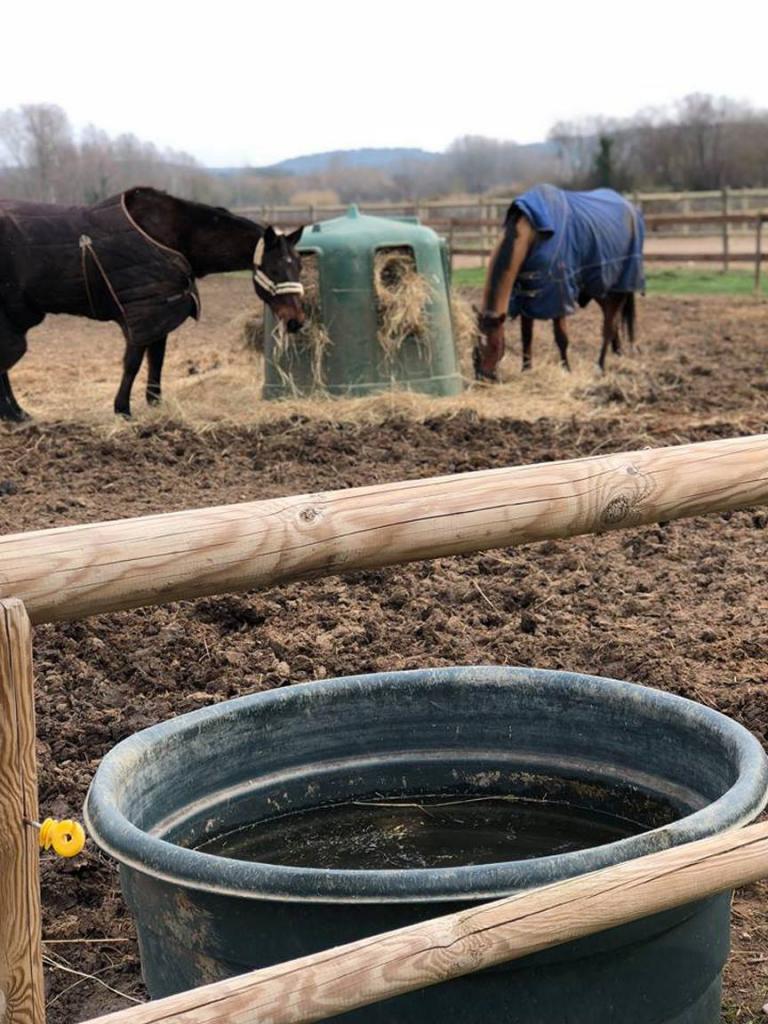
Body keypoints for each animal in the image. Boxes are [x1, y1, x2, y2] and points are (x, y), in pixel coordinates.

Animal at [0, 188, 307, 419]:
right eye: (276, 269)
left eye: (299, 265)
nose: (296, 321)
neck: (171, 237)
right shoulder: (141, 313)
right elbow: (133, 363)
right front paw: (122, 410)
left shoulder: (160, 314)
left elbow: (156, 360)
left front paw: (155, 402)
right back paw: (14, 414)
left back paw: (16, 415)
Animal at [475, 184, 643, 380]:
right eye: (478, 343)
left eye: (495, 345)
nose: (483, 376)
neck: (534, 234)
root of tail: (631, 209)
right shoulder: (526, 297)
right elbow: (526, 336)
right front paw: (526, 370)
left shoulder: (558, 298)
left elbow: (561, 338)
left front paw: (566, 370)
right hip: (601, 292)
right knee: (613, 323)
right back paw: (618, 355)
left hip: (619, 290)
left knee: (609, 327)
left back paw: (600, 366)